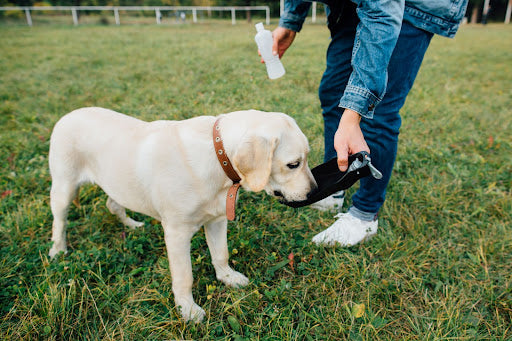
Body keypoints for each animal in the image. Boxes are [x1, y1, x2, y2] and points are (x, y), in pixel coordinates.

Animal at [51, 107, 316, 322]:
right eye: (293, 164)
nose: (314, 192)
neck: (217, 156)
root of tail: (69, 114)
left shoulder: (217, 220)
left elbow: (221, 254)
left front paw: (227, 277)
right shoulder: (177, 233)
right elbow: (184, 276)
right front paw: (187, 309)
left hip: (117, 184)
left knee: (113, 204)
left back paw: (132, 224)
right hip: (63, 188)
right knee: (60, 222)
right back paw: (58, 250)